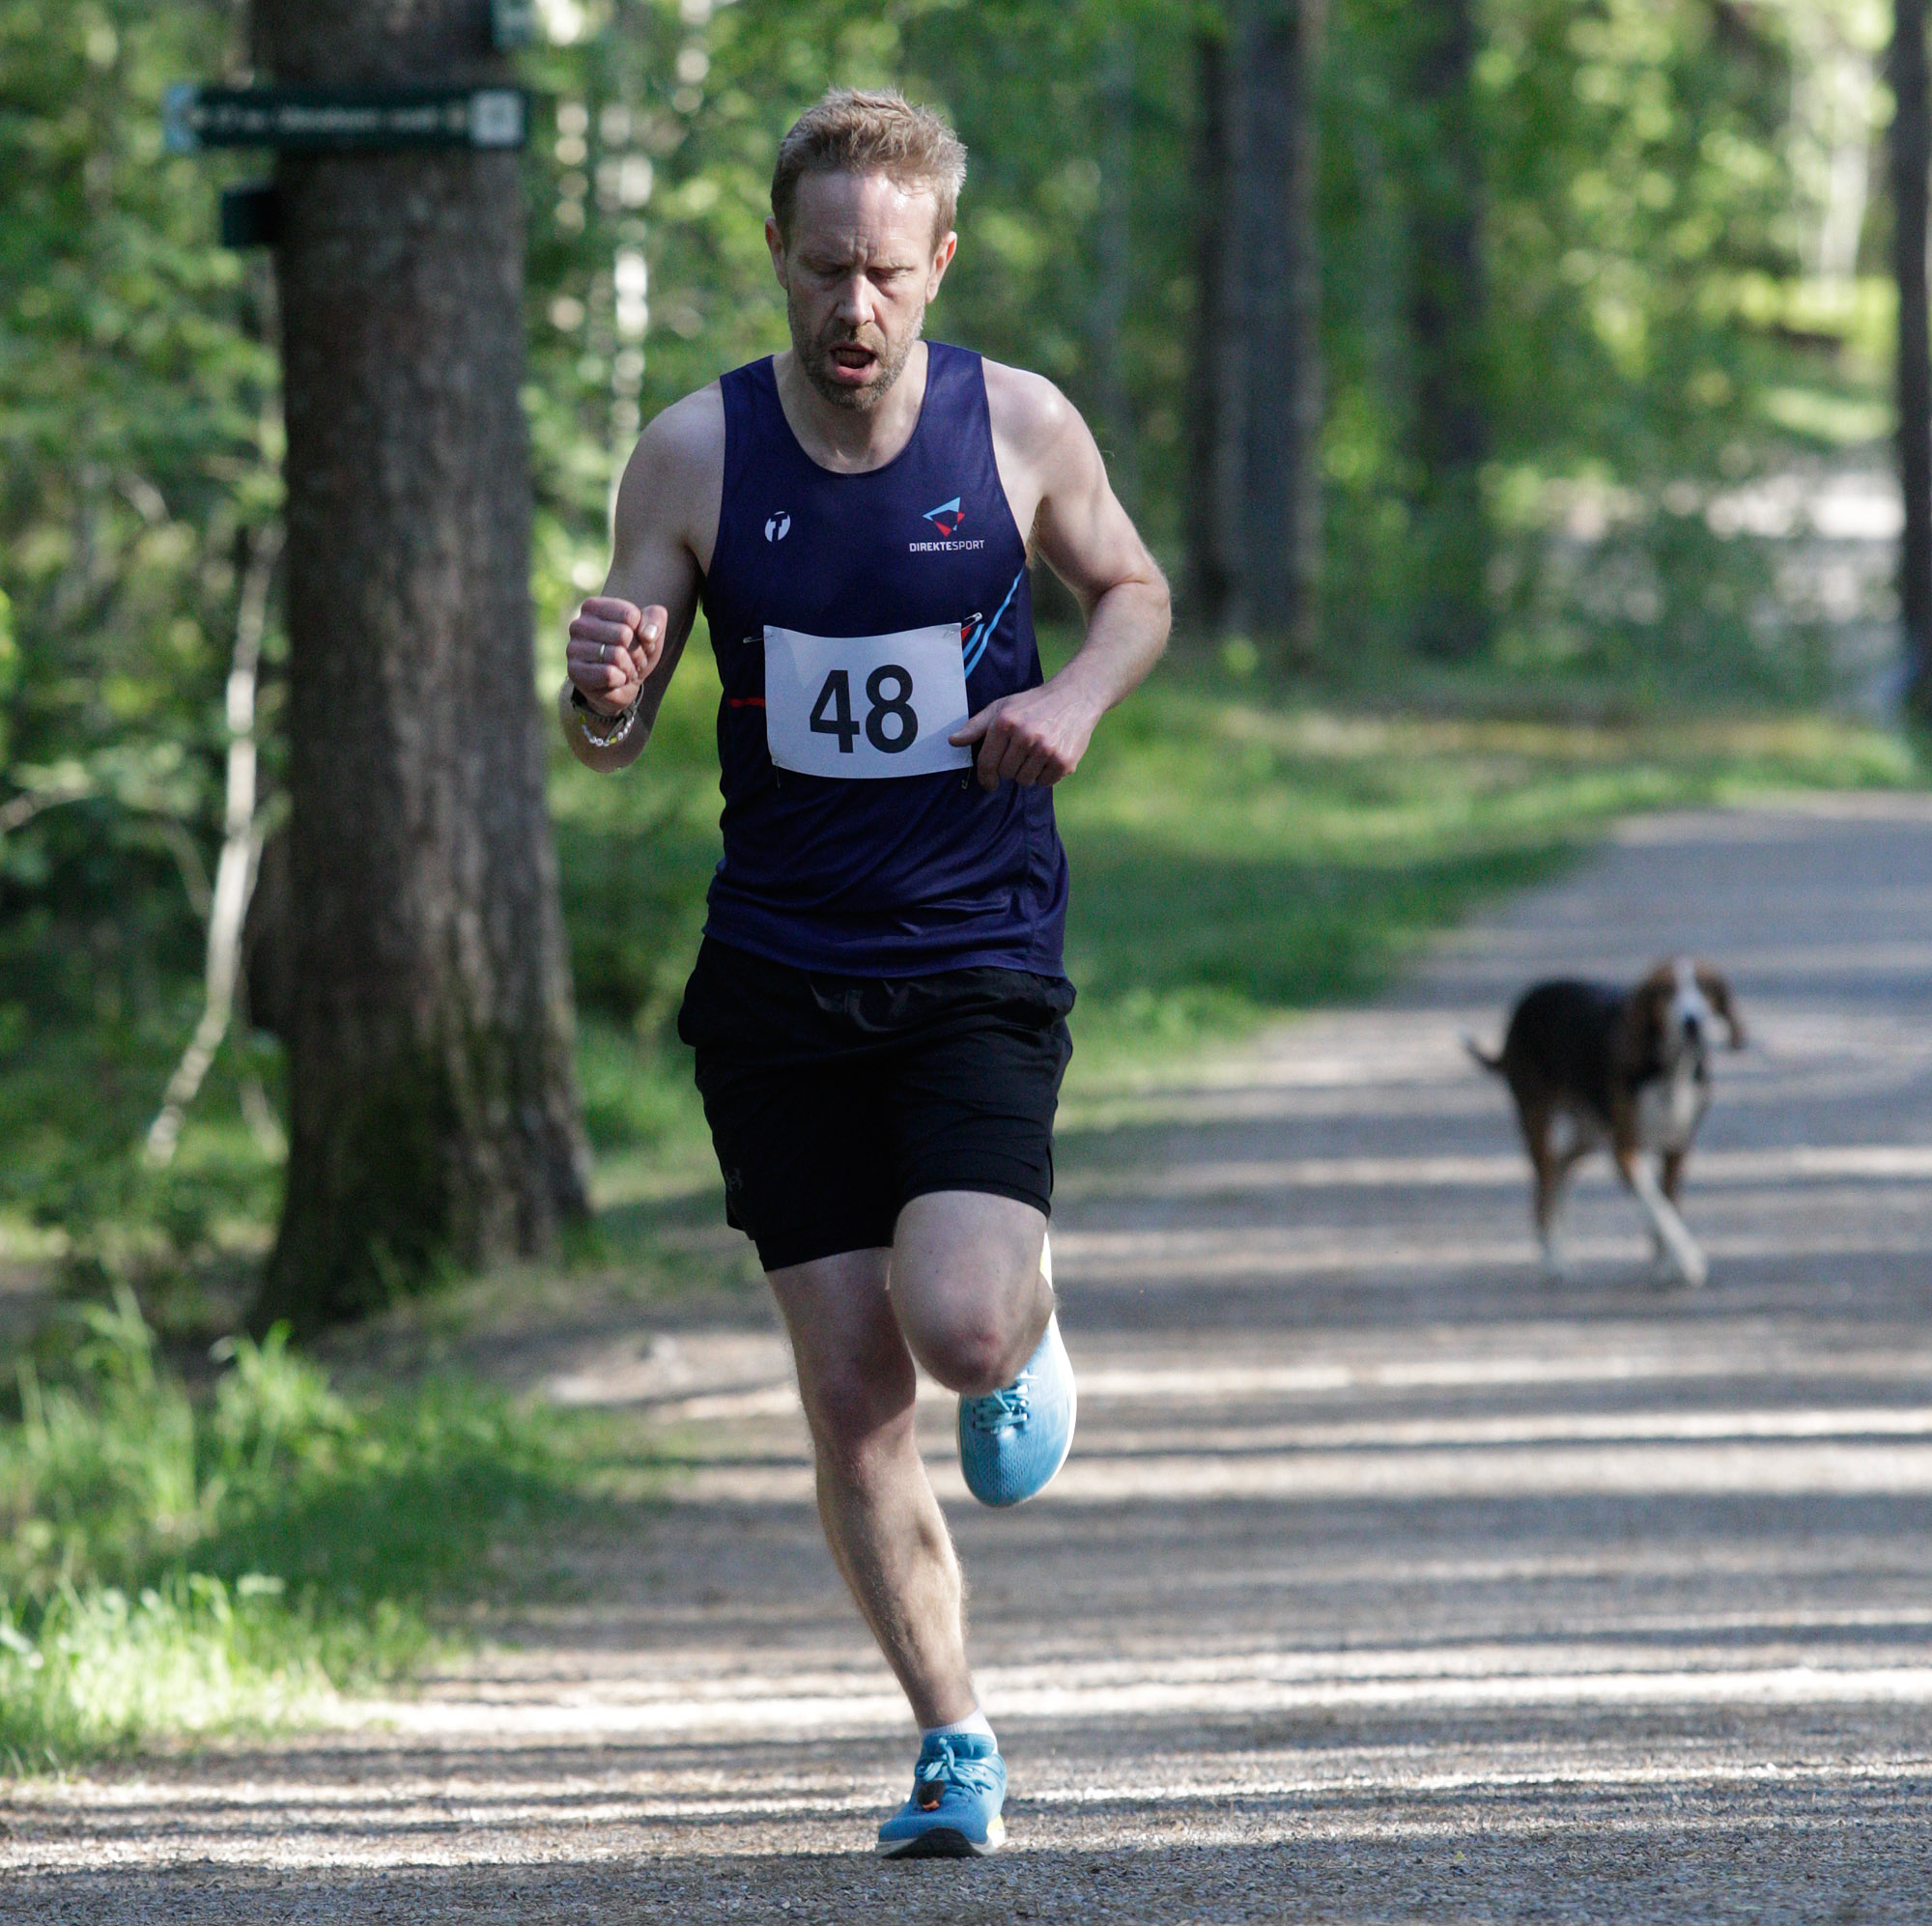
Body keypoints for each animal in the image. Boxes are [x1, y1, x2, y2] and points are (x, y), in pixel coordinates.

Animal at [1466, 958, 1745, 1287]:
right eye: (1666, 990)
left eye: (1706, 987)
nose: (1693, 1021)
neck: (1668, 1072)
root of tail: (1525, 1000)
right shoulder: (1625, 1151)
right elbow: (1657, 1206)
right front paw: (1688, 1259)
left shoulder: (1677, 1148)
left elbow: (1667, 1204)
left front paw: (1666, 1263)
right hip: (1537, 1121)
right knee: (1545, 1188)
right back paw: (1554, 1261)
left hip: (1590, 1132)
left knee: (1561, 1167)